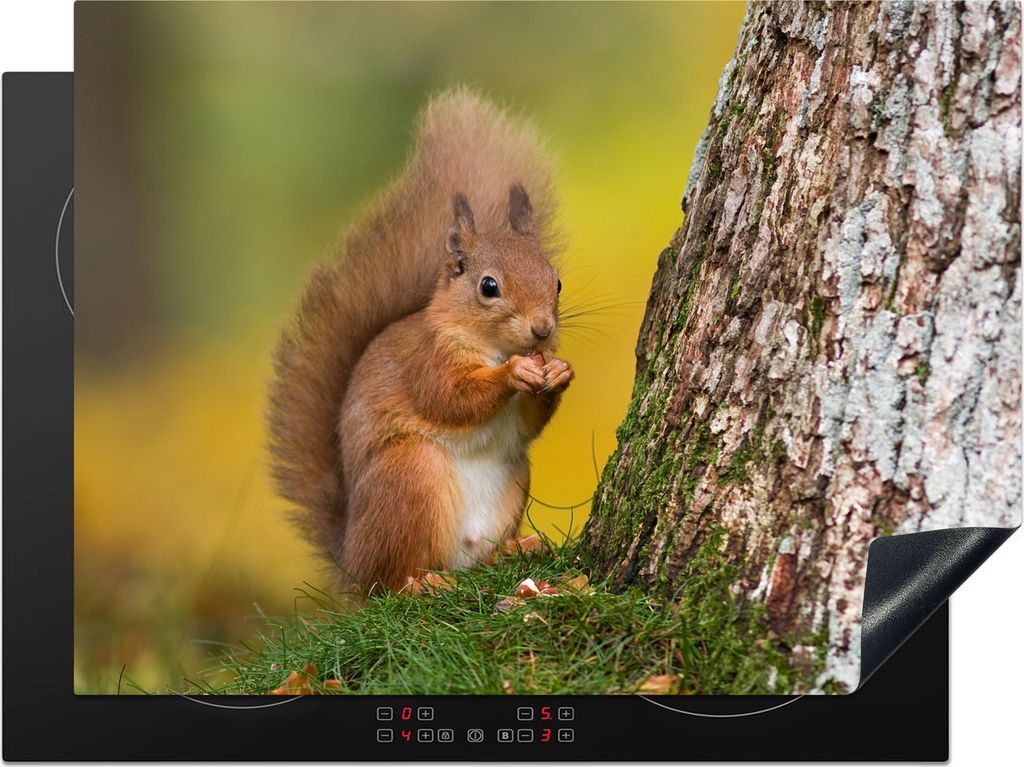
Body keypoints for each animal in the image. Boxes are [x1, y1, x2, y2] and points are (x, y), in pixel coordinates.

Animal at [268, 88, 573, 592]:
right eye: (489, 286)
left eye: (558, 282)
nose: (543, 330)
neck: (491, 346)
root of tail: (350, 562)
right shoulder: (426, 361)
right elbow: (449, 398)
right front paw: (513, 373)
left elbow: (529, 424)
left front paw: (560, 372)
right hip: (410, 474)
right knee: (390, 581)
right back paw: (420, 583)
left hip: (514, 477)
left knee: (477, 556)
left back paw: (514, 548)